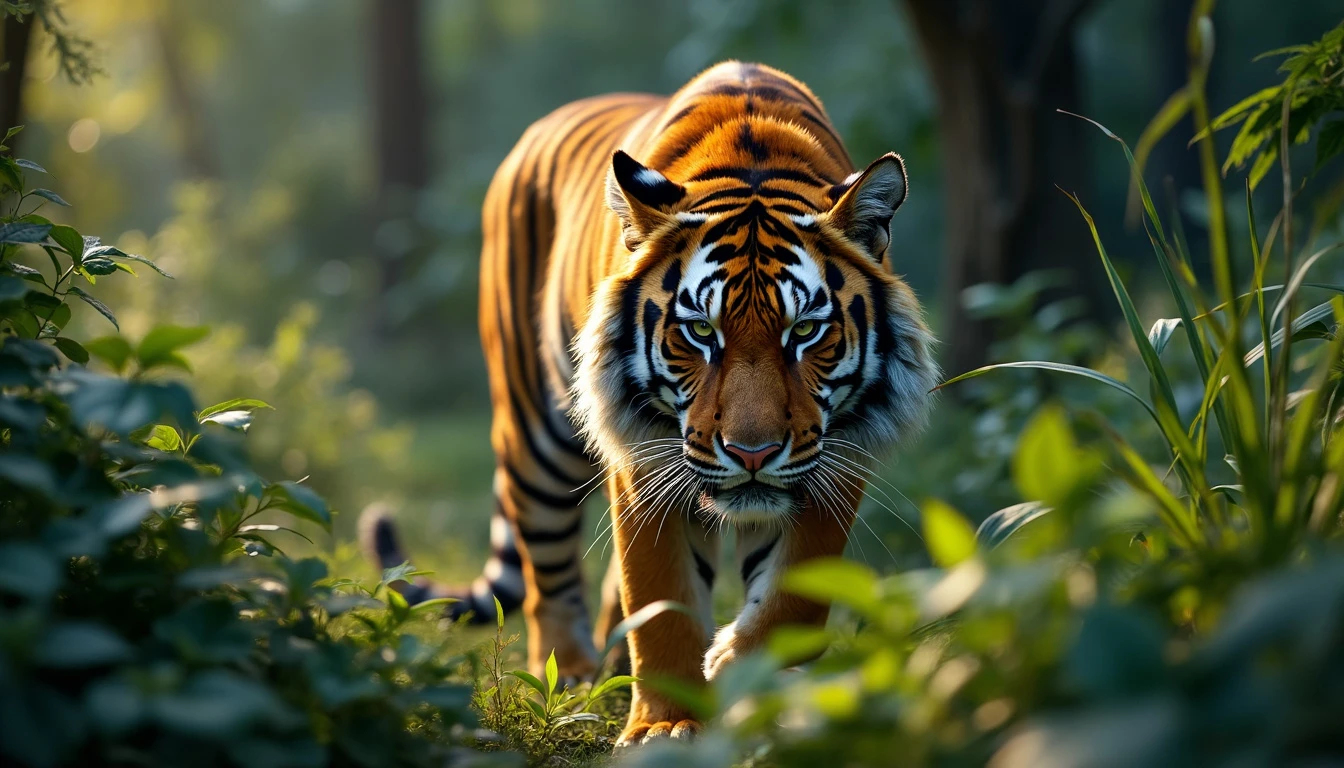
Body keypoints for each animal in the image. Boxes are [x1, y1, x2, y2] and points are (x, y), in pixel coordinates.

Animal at [362, 63, 940, 747]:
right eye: (700, 332)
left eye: (804, 331)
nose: (752, 453)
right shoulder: (642, 455)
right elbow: (659, 597)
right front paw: (665, 724)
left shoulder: (839, 458)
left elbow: (792, 600)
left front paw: (741, 674)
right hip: (536, 431)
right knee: (545, 569)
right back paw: (572, 676)